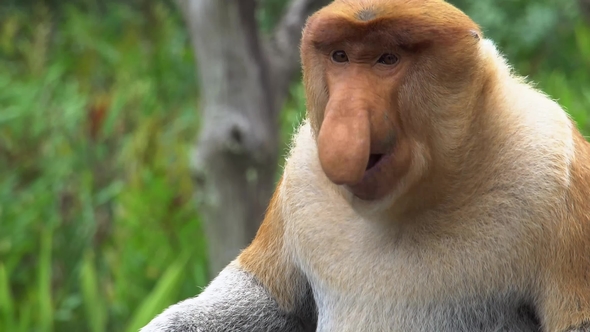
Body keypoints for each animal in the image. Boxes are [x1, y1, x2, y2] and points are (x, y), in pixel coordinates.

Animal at [141, 0, 590, 330]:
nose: (345, 120)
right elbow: (264, 299)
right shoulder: (303, 174)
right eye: (340, 56)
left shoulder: (550, 167)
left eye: (387, 59)